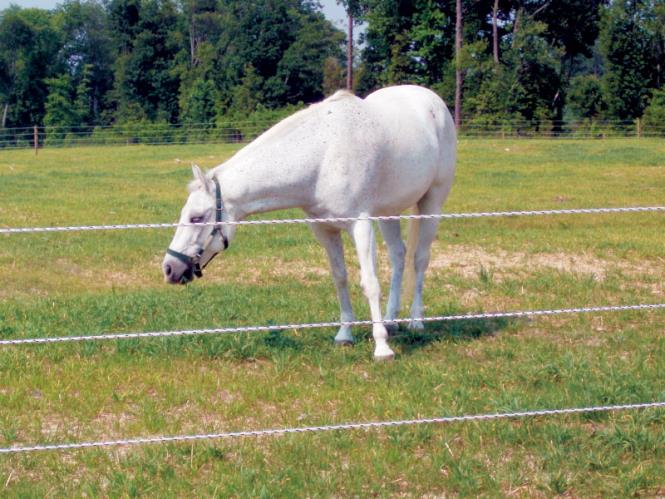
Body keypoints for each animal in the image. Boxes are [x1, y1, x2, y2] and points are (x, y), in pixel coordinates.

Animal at [161, 85, 456, 360]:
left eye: (197, 217)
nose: (169, 268)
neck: (322, 156)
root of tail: (431, 100)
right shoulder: (325, 229)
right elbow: (340, 278)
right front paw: (344, 334)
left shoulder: (360, 225)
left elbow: (370, 283)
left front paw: (382, 347)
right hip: (388, 213)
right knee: (398, 256)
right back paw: (392, 320)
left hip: (432, 203)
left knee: (419, 259)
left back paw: (416, 321)